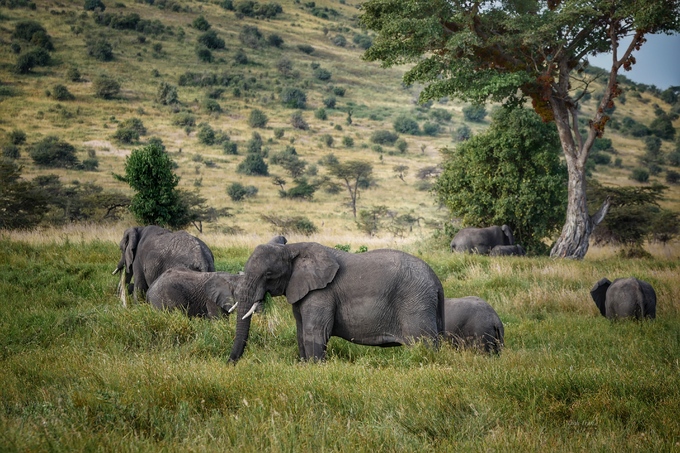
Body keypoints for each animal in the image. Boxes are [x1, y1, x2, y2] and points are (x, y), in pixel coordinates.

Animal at [228, 238, 446, 362]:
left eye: (268, 275)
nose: (231, 363)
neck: (291, 249)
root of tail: (437, 282)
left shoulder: (322, 293)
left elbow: (315, 331)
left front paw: (315, 368)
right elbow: (301, 332)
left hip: (416, 302)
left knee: (423, 344)